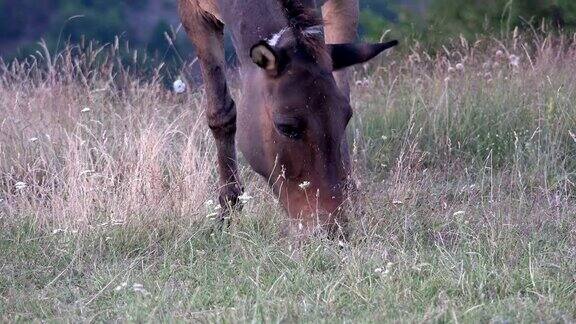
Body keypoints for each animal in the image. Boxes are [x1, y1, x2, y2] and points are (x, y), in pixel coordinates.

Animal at [179, 0, 396, 238]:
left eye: (346, 117)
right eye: (286, 127)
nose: (332, 229)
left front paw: (352, 198)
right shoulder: (194, 12)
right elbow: (220, 112)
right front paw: (227, 213)